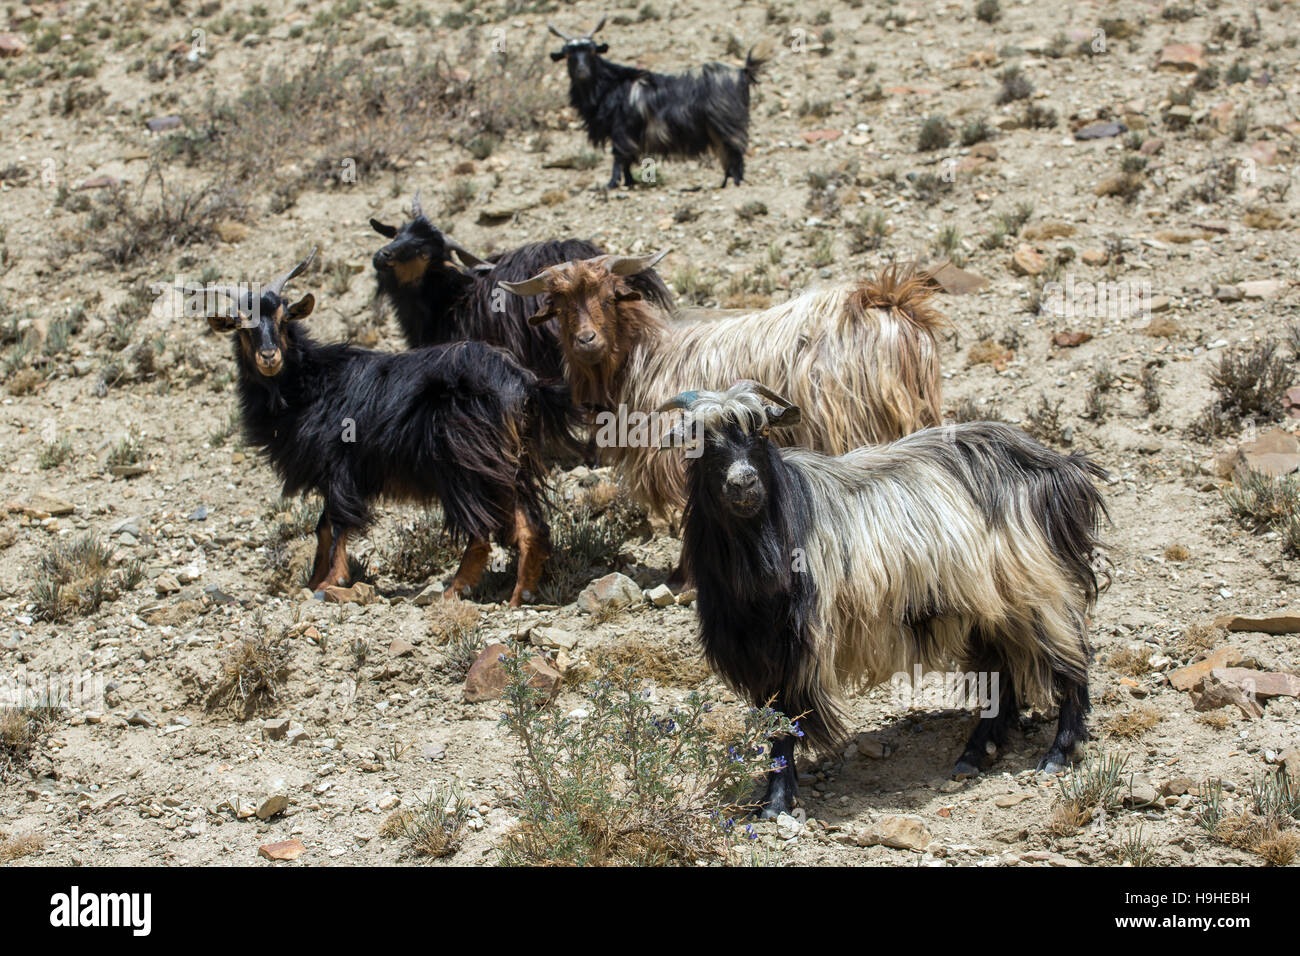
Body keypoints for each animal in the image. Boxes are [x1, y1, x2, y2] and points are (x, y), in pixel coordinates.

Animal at [208, 250, 580, 607]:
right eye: (241, 325)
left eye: (284, 319)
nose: (269, 357)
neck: (309, 384)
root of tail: (522, 382)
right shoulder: (330, 474)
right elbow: (322, 527)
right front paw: (313, 581)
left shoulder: (340, 466)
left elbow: (336, 524)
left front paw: (331, 582)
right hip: (507, 465)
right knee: (530, 526)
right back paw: (519, 597)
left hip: (466, 465)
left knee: (480, 531)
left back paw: (452, 591)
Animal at [547, 19, 767, 189]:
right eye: (567, 54)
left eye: (593, 52)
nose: (582, 71)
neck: (611, 85)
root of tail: (743, 72)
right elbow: (627, 159)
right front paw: (629, 182)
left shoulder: (621, 130)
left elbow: (619, 156)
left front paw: (612, 184)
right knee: (728, 155)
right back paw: (725, 183)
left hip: (728, 123)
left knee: (735, 152)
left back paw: (735, 183)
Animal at [659, 382, 1108, 817]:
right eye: (699, 440)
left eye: (762, 431)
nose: (743, 483)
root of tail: (1057, 467)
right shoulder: (756, 652)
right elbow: (774, 723)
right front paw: (775, 796)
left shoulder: (795, 647)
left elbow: (786, 723)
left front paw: (777, 803)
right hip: (989, 607)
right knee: (1005, 670)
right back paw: (976, 753)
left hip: (1036, 587)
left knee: (1071, 655)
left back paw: (1060, 751)